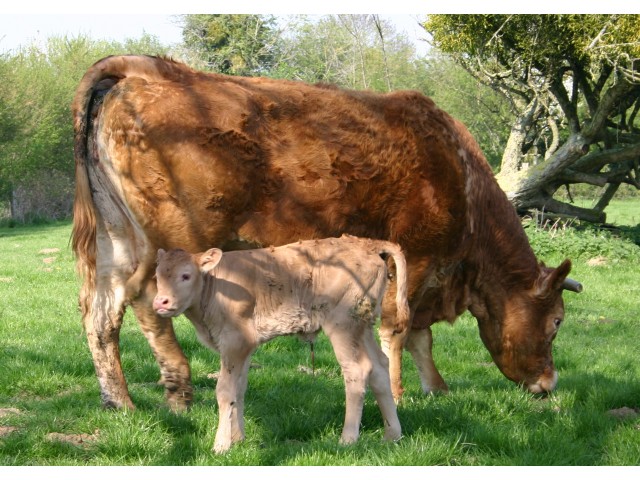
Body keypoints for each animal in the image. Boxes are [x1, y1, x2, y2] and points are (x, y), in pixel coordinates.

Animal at [72, 55, 584, 408]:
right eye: (557, 321)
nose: (549, 383)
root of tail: (144, 68)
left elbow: (421, 335)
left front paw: (436, 388)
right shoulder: (414, 257)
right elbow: (400, 326)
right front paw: (397, 393)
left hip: (118, 239)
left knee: (101, 314)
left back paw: (121, 401)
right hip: (171, 242)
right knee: (148, 303)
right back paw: (178, 391)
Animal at [152, 236, 408, 454]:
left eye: (186, 275)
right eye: (157, 277)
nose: (161, 302)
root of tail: (367, 244)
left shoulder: (236, 341)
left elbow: (225, 391)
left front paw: (221, 445)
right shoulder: (245, 348)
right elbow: (239, 389)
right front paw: (238, 439)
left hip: (343, 324)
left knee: (357, 370)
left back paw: (347, 439)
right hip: (362, 326)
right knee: (380, 367)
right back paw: (392, 435)